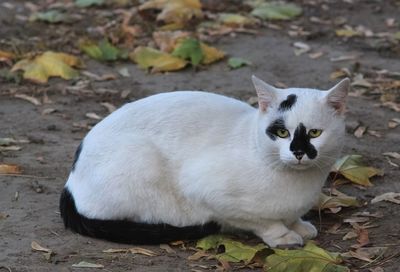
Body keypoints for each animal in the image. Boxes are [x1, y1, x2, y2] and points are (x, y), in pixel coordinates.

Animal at [60, 75, 350, 248]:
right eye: (281, 133)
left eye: (315, 133)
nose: (299, 152)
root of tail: (70, 183)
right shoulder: (209, 193)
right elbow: (262, 221)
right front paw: (282, 235)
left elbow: (290, 217)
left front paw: (297, 225)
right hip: (141, 160)